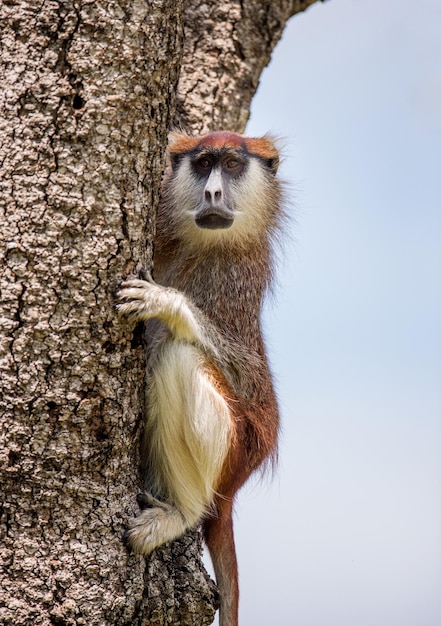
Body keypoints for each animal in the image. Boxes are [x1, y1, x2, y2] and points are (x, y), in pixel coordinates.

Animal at [116, 129, 282, 620]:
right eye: (204, 162)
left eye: (232, 164)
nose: (213, 192)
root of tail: (231, 489)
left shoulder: (235, 280)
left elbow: (248, 379)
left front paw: (170, 304)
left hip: (235, 446)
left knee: (179, 357)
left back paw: (182, 513)